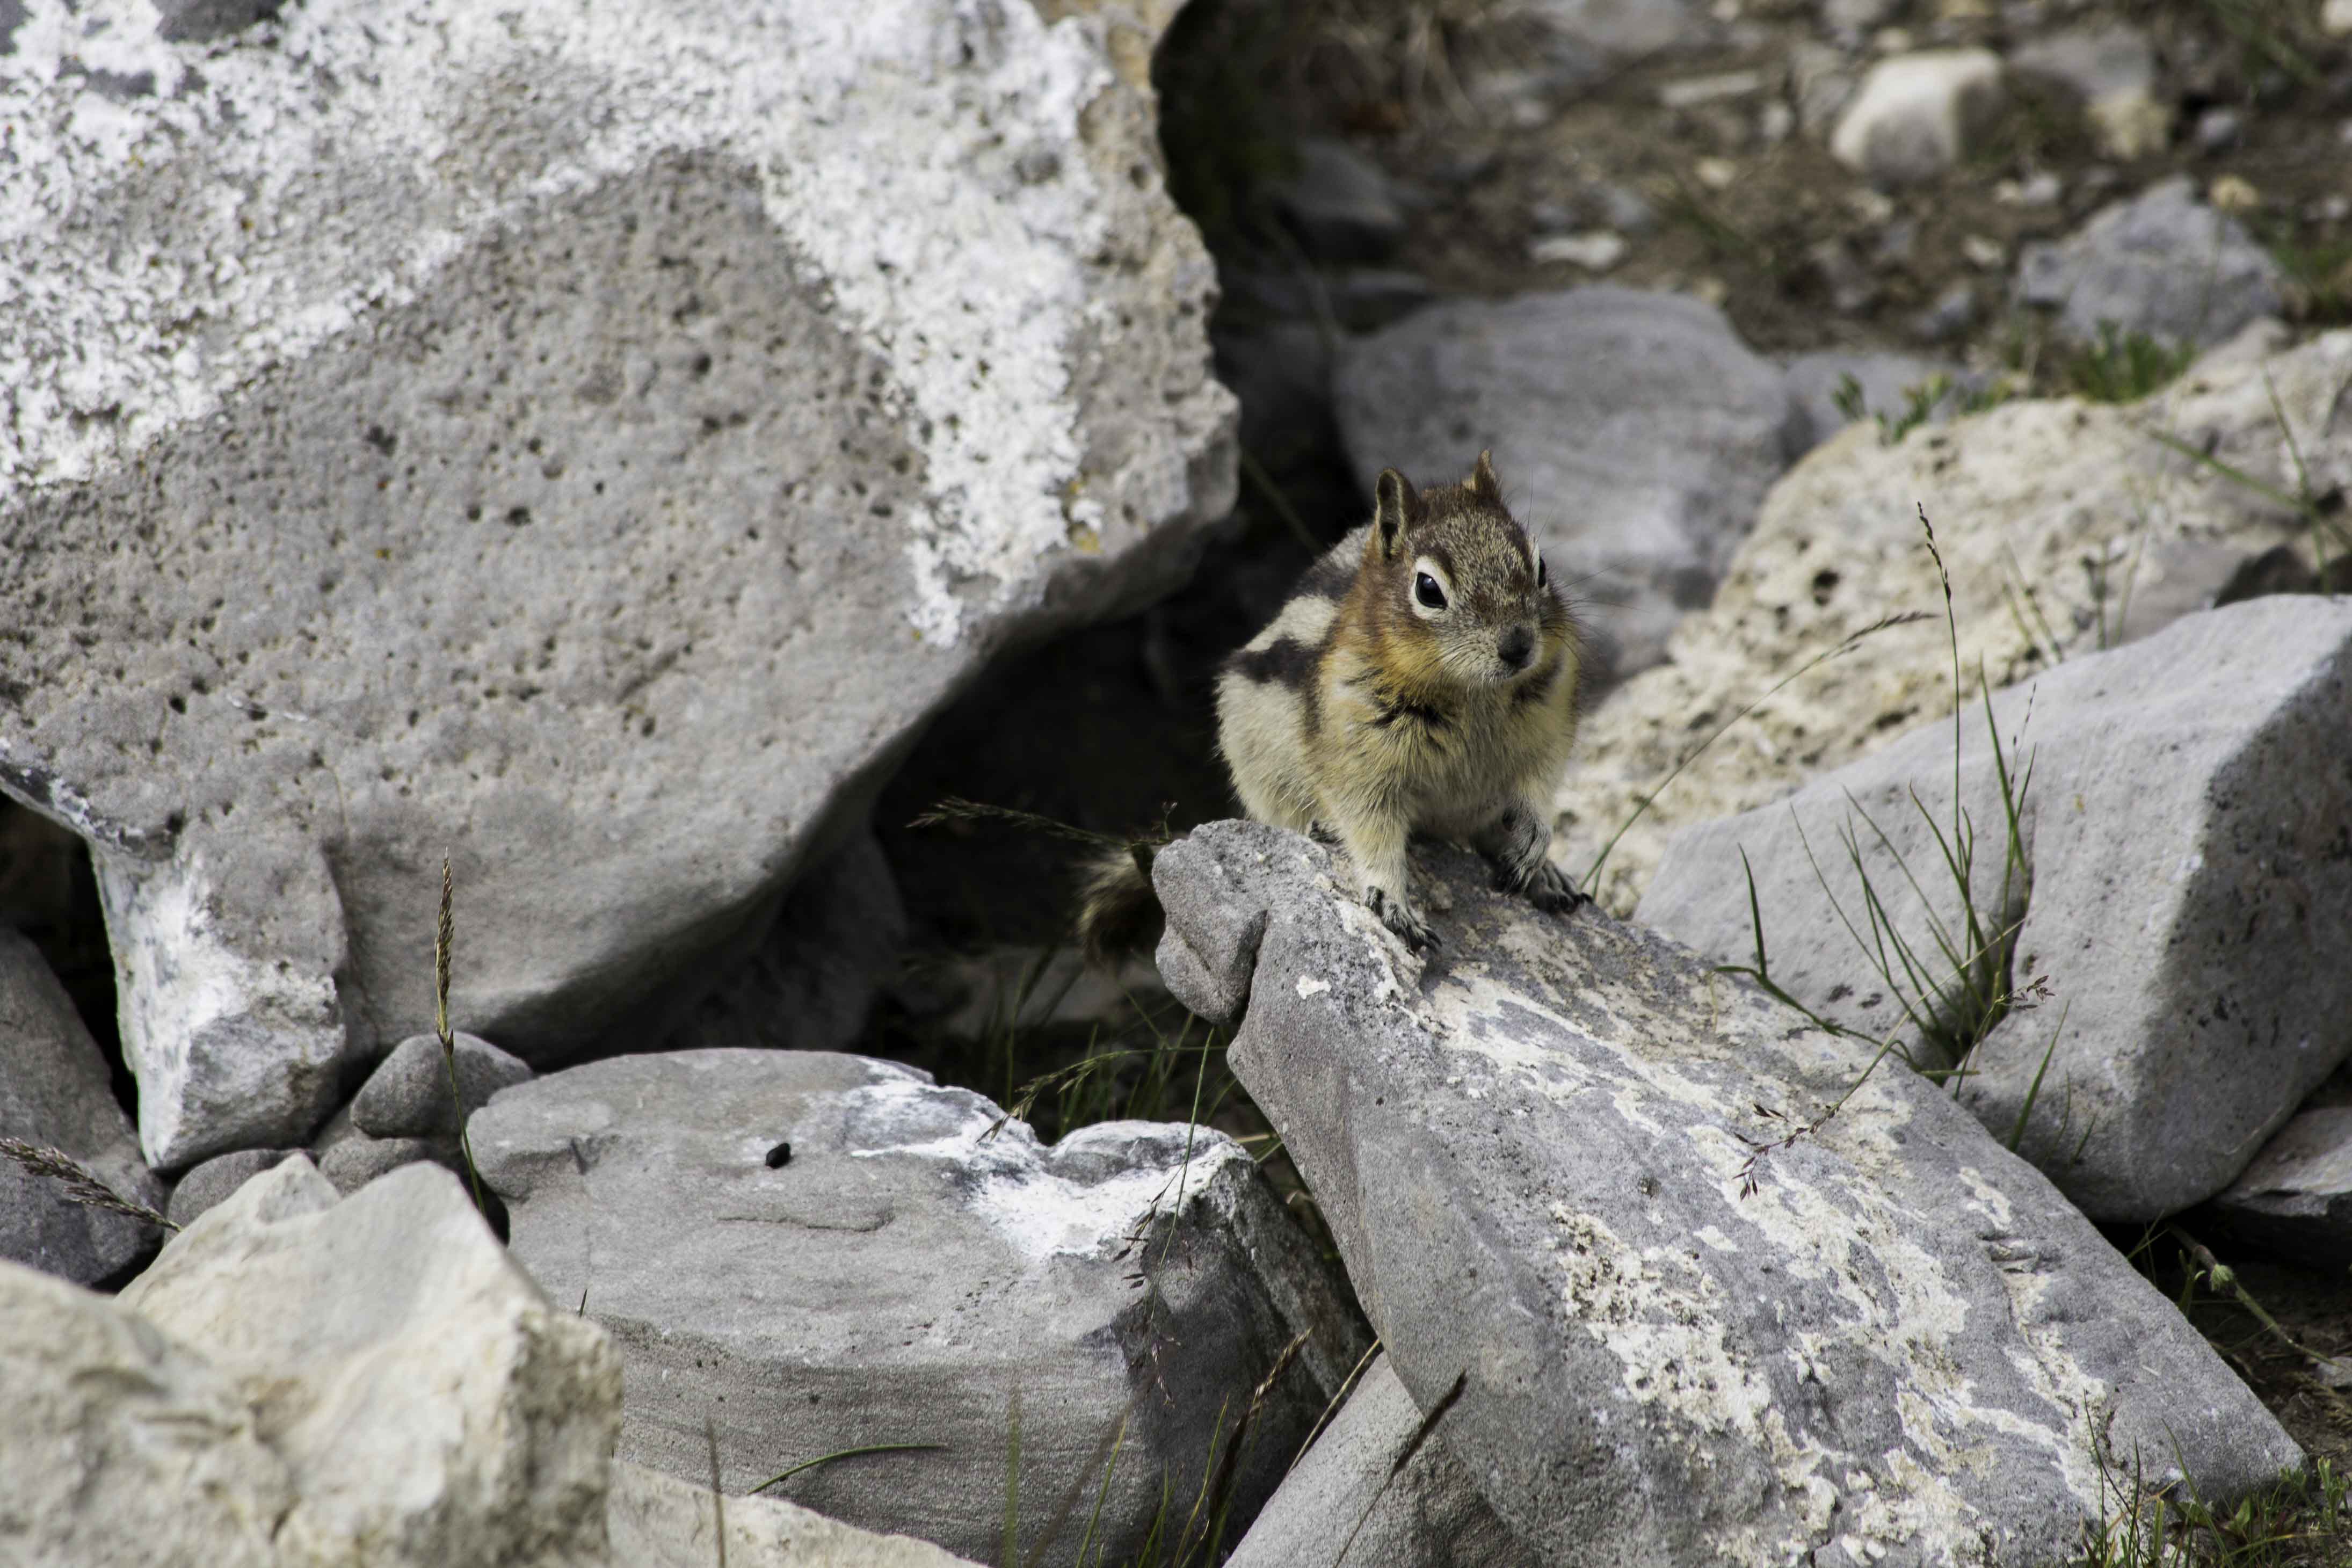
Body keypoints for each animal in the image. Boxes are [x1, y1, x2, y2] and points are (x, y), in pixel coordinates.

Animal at [1079, 450, 1587, 963]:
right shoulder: (1358, 761)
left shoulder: (1550, 725)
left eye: (1542, 568)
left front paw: (1536, 841)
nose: (1519, 646)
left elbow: (1540, 785)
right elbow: (1371, 830)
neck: (1471, 695)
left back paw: (1547, 878)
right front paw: (1393, 902)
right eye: (1428, 589)